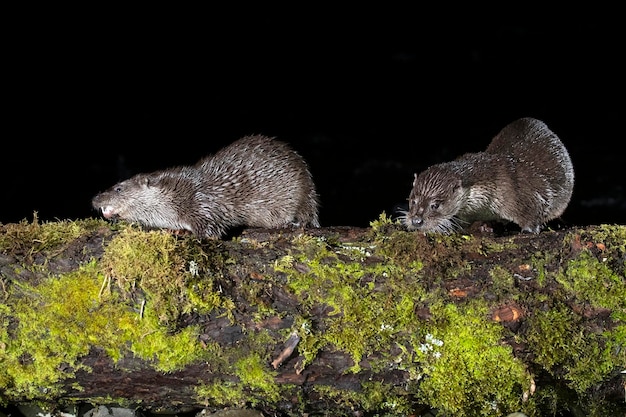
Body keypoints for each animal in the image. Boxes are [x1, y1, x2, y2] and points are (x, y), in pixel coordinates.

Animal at [91, 134, 322, 237]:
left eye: (118, 188)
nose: (95, 199)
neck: (175, 194)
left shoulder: (203, 205)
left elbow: (211, 231)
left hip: (300, 192)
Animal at [402, 118, 572, 234]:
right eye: (413, 201)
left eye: (435, 205)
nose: (416, 221)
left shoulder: (523, 194)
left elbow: (535, 212)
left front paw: (528, 231)